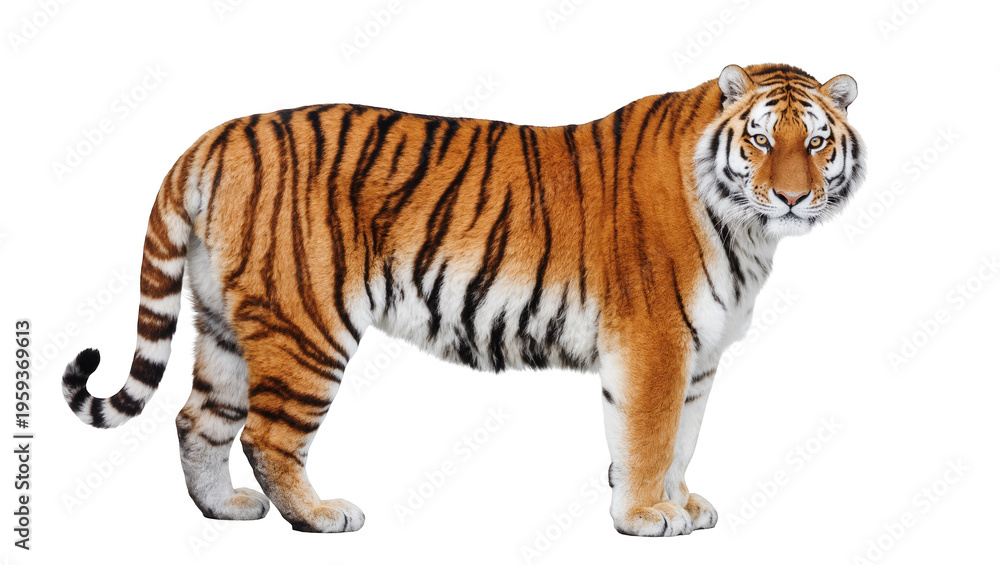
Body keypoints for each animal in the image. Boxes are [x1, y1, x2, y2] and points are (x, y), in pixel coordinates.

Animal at [61, 63, 865, 536]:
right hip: (306, 327)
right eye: (759, 140)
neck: (747, 228)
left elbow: (683, 437)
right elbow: (647, 437)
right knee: (266, 434)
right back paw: (319, 516)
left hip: (228, 323)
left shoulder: (698, 354)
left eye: (816, 142)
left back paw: (223, 509)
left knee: (197, 418)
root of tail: (216, 137)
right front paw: (643, 515)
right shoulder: (656, 343)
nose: (792, 197)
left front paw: (683, 503)